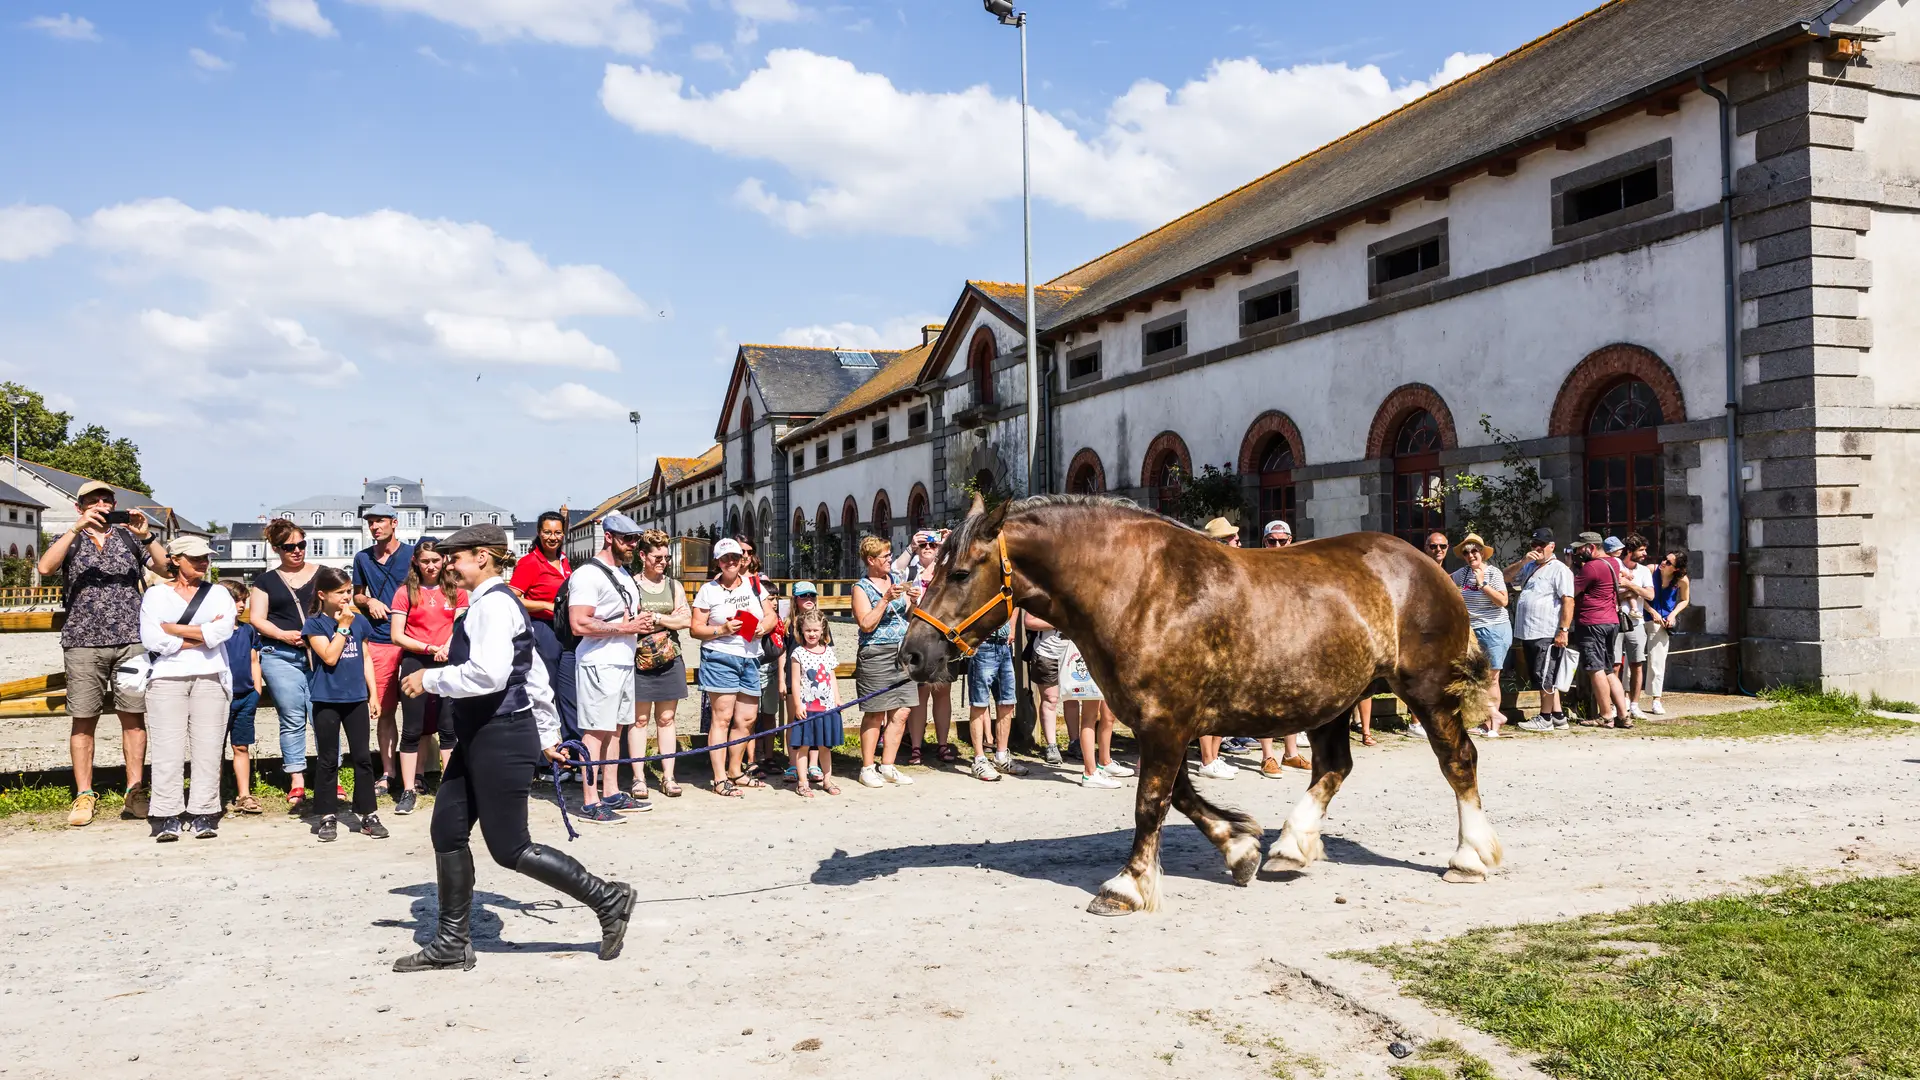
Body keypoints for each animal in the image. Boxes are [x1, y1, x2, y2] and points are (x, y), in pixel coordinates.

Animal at [898, 495, 1497, 907]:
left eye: (959, 572)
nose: (913, 654)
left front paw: (1128, 887)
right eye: (930, 568)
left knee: (1458, 761)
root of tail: (1429, 565)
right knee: (1333, 767)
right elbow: (1181, 796)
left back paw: (1470, 857)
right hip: (1329, 700)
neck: (1137, 588)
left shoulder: (1166, 723)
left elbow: (1151, 802)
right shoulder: (1161, 724)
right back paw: (1289, 847)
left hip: (1427, 692)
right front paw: (1241, 848)